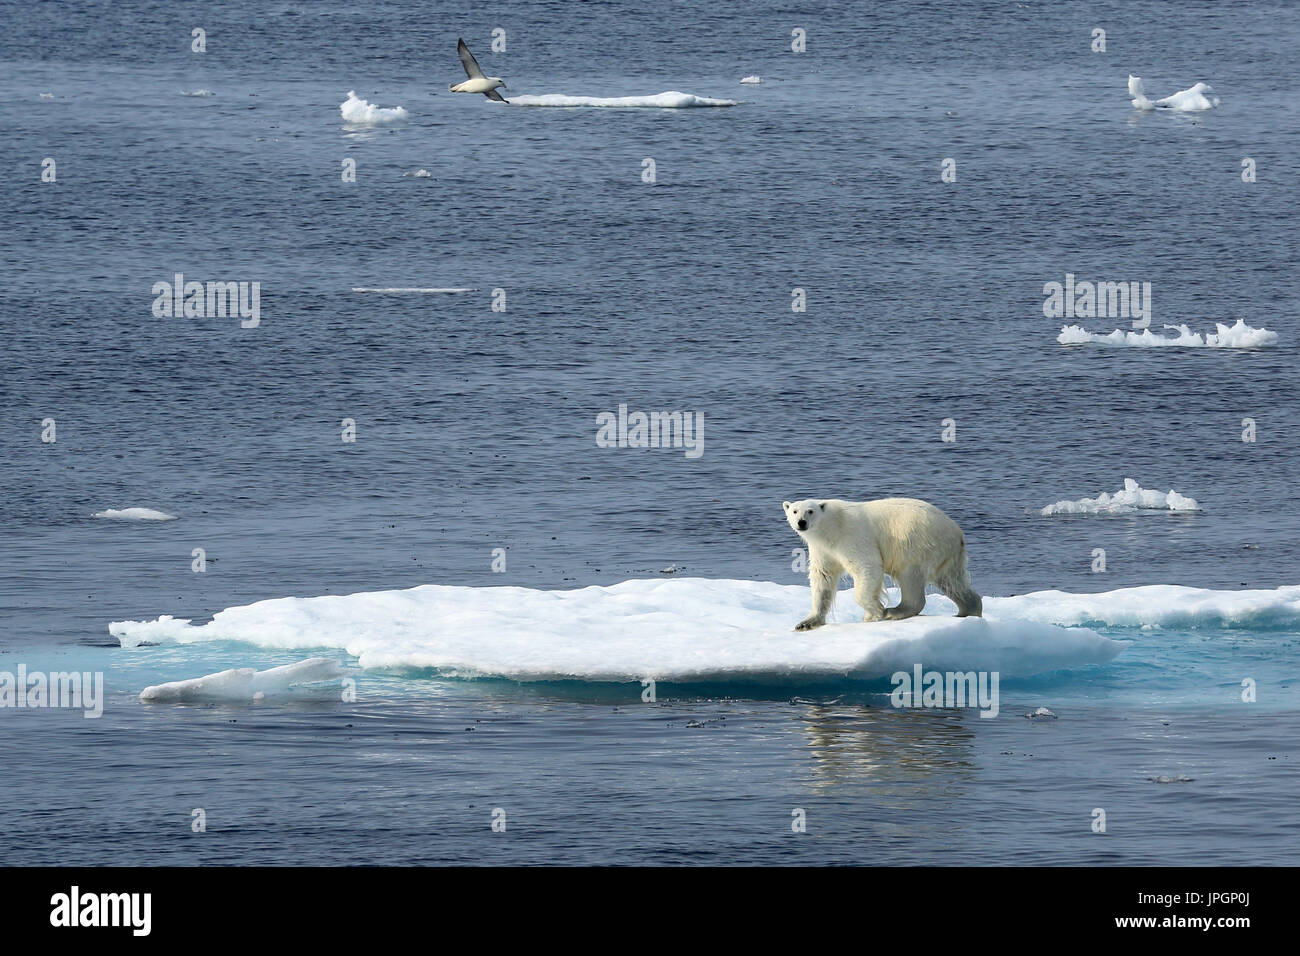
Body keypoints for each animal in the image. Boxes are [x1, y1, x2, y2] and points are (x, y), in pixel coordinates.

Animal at [780, 496, 982, 632]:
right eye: (794, 511)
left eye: (810, 511)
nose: (801, 522)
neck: (830, 527)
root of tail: (958, 533)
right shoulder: (822, 549)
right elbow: (823, 578)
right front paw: (806, 623)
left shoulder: (851, 536)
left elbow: (866, 565)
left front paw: (873, 613)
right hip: (946, 556)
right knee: (952, 582)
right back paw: (968, 610)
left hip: (916, 543)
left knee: (910, 577)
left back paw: (894, 611)